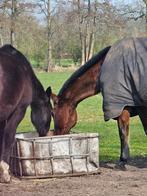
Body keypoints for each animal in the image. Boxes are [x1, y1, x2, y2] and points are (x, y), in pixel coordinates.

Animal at [51, 37, 147, 169]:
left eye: (52, 113)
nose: (56, 135)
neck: (101, 70)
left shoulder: (123, 107)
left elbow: (123, 133)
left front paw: (123, 160)